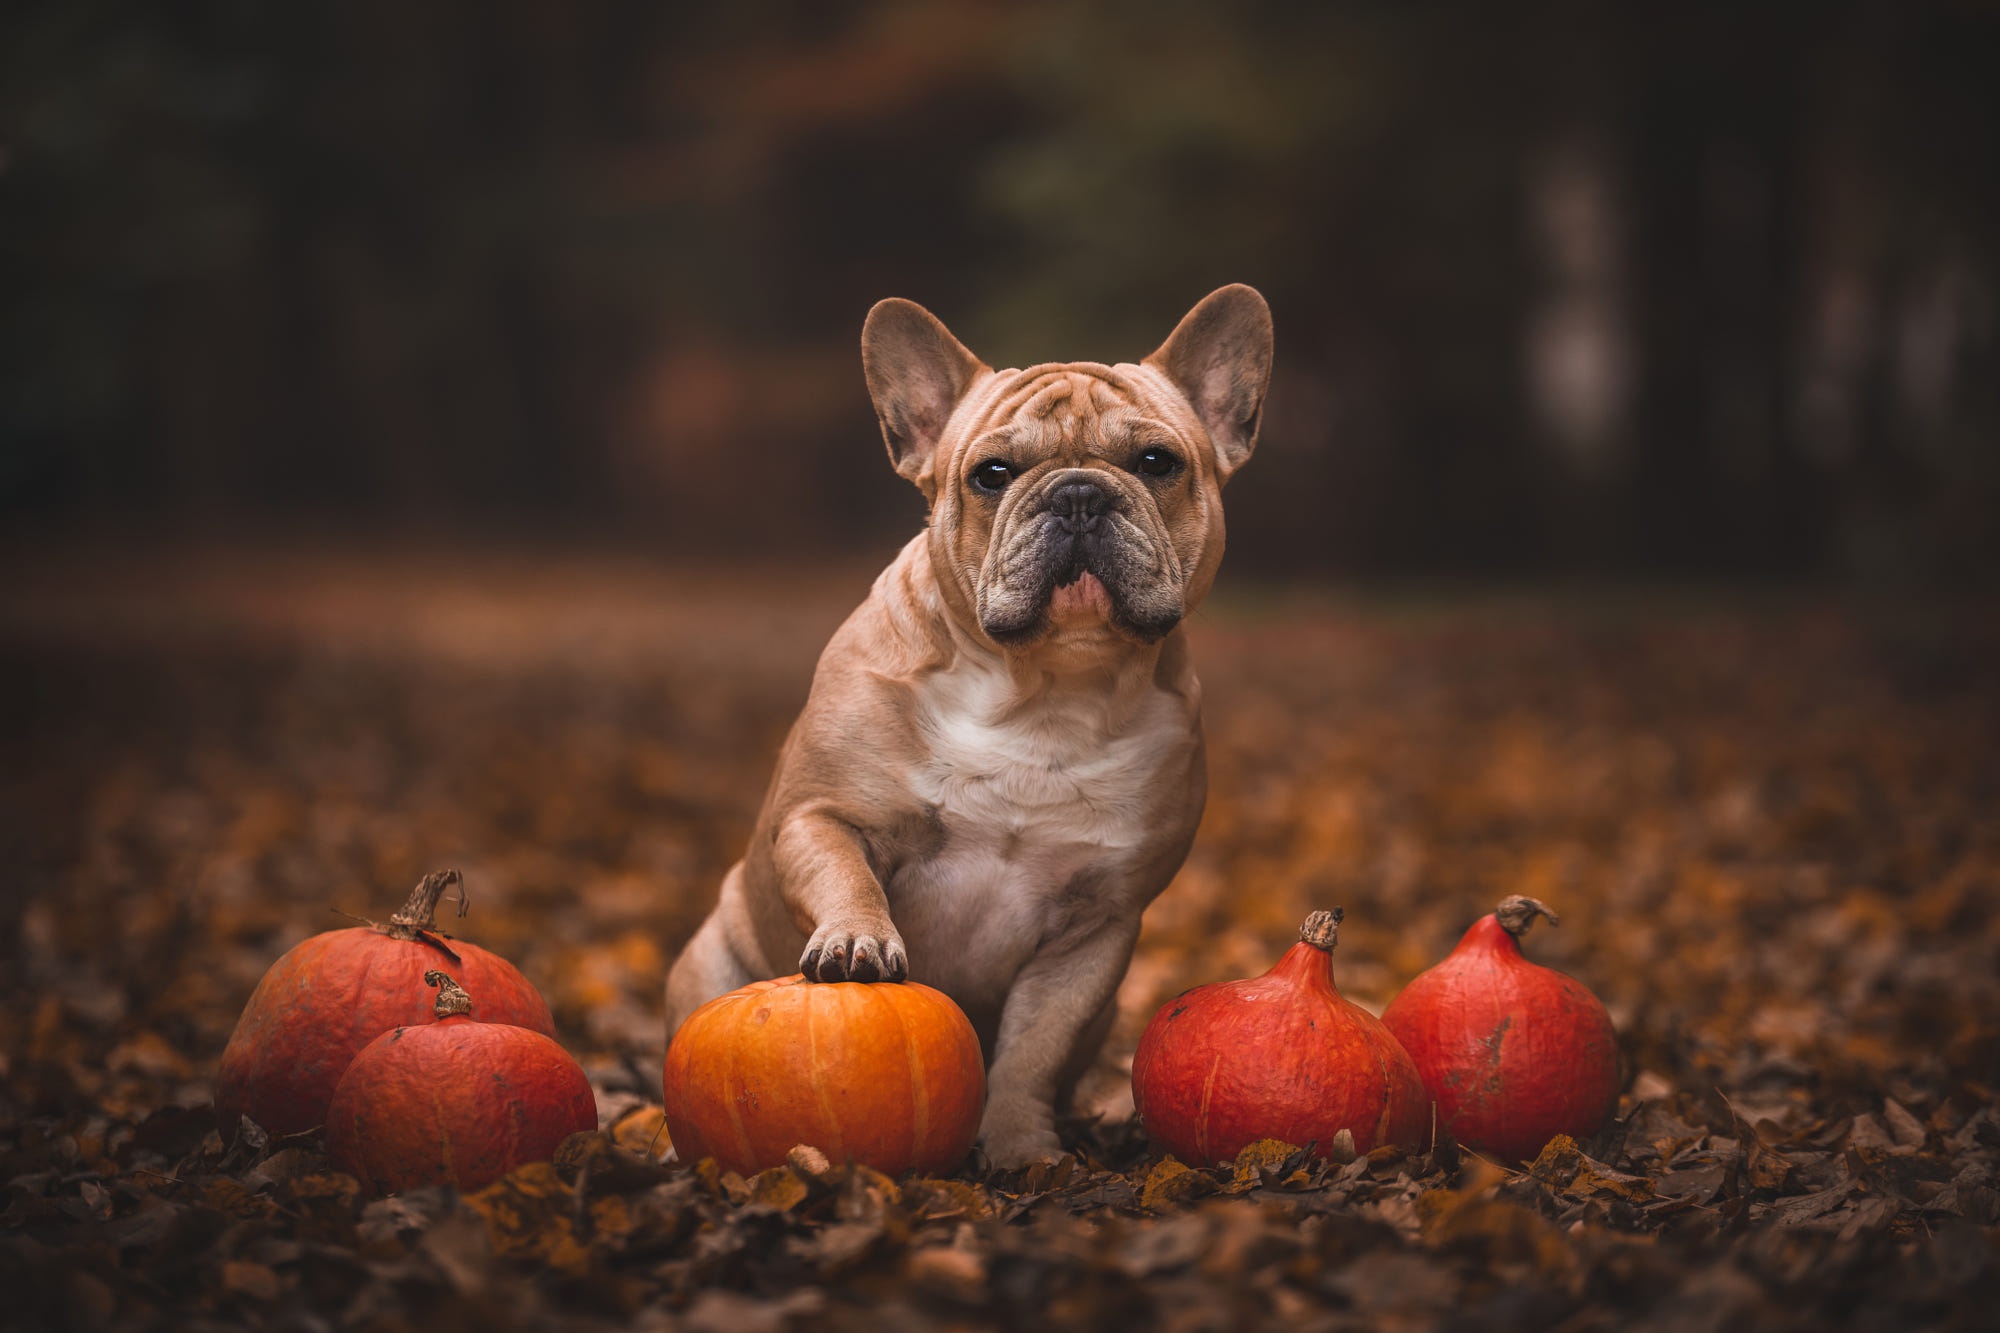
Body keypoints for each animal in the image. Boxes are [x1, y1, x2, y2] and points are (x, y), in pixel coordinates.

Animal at [664, 282, 1272, 1160]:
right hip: (711, 959)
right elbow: (846, 872)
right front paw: (857, 940)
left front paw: (1020, 1144)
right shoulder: (821, 817)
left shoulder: (1097, 927)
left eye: (1158, 463)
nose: (1079, 493)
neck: (1043, 694)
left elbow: (1032, 1047)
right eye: (992, 475)